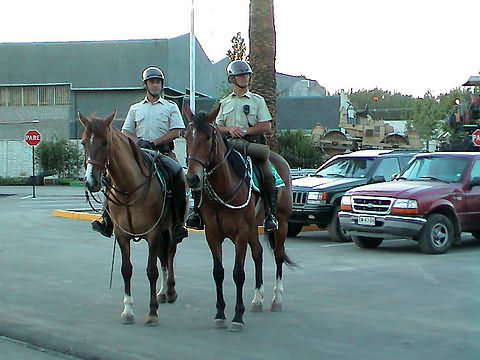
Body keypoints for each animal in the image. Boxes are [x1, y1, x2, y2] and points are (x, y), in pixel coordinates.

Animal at [79, 111, 180, 324]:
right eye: (83, 142)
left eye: (105, 142)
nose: (91, 182)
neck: (130, 189)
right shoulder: (122, 234)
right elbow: (126, 269)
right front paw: (128, 310)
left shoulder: (153, 233)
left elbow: (151, 271)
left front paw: (152, 313)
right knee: (164, 258)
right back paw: (162, 292)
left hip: (169, 230)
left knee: (169, 255)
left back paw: (170, 291)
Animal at [184, 105, 294, 332]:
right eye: (187, 136)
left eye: (208, 137)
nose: (192, 178)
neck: (224, 189)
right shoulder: (213, 234)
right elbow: (218, 272)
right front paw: (220, 314)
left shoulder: (240, 233)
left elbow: (238, 273)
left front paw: (237, 316)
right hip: (253, 226)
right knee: (259, 254)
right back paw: (258, 299)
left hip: (281, 223)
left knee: (278, 255)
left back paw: (276, 300)